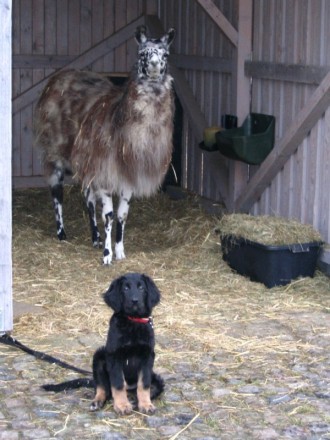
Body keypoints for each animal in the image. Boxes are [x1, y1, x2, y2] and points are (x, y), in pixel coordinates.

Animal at [42, 274, 164, 414]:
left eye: (141, 288)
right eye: (125, 288)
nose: (135, 301)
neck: (132, 322)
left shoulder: (147, 356)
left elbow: (144, 384)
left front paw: (146, 404)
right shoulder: (114, 356)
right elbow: (118, 383)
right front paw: (122, 405)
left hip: (157, 380)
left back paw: (133, 399)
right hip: (99, 357)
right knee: (103, 388)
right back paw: (98, 402)